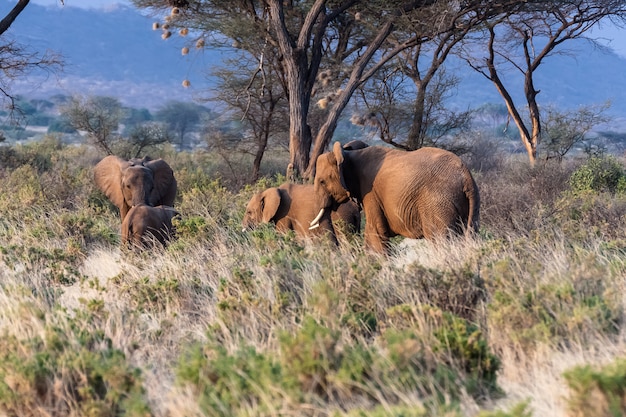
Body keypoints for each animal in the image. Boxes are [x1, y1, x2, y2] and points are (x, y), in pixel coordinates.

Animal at [310, 141, 478, 252]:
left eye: (322, 181)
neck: (347, 154)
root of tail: (466, 176)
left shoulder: (370, 192)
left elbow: (375, 232)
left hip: (437, 203)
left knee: (440, 240)